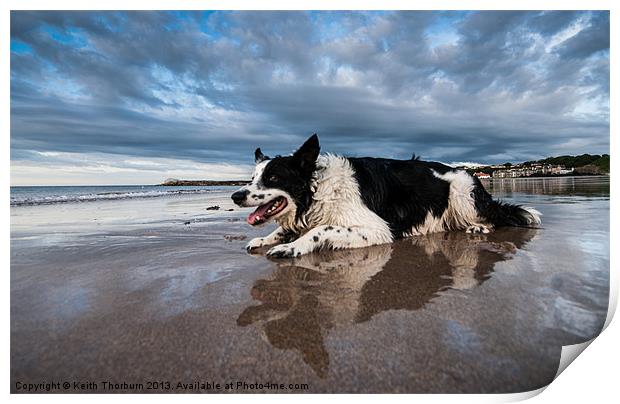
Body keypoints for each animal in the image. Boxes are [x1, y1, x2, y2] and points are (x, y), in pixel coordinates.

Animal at [230, 134, 540, 258]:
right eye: (252, 178)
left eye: (273, 178)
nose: (235, 195)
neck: (317, 191)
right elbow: (286, 229)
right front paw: (265, 239)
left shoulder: (378, 228)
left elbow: (322, 229)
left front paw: (292, 247)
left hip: (461, 194)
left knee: (494, 217)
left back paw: (478, 227)